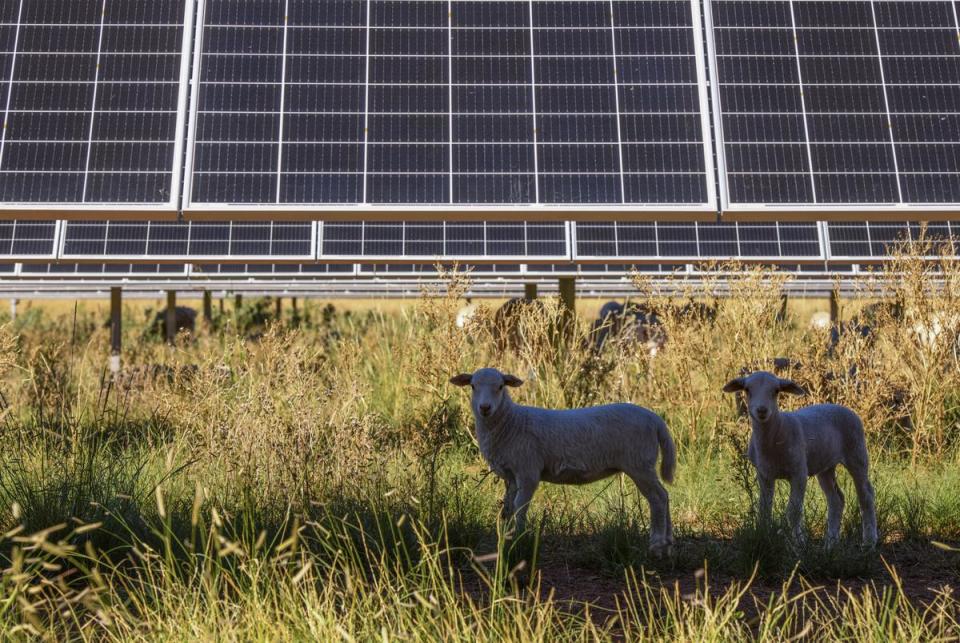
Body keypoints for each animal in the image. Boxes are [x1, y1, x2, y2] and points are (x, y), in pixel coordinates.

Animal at [450, 368, 676, 560]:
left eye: (500, 386)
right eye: (472, 386)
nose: (485, 408)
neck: (511, 423)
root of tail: (656, 420)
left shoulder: (528, 470)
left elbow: (520, 506)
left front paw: (518, 541)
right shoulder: (511, 476)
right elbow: (508, 507)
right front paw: (506, 537)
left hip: (639, 463)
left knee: (657, 498)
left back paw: (656, 546)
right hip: (642, 463)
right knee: (665, 495)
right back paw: (668, 543)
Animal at [720, 372, 876, 548]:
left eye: (776, 391)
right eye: (747, 389)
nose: (762, 410)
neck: (775, 434)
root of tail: (842, 406)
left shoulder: (799, 473)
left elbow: (793, 511)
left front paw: (798, 542)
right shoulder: (764, 474)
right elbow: (764, 509)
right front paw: (764, 536)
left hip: (856, 452)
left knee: (866, 496)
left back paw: (869, 540)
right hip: (826, 466)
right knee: (836, 500)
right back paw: (830, 543)